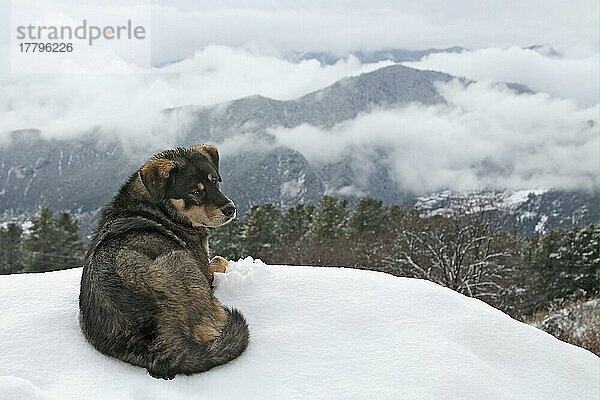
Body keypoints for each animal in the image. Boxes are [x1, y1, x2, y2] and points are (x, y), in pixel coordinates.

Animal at [79, 145, 248, 380]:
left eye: (215, 181)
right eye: (195, 191)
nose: (231, 209)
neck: (159, 207)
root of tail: (154, 340)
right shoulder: (204, 269)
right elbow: (218, 260)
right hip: (181, 260)